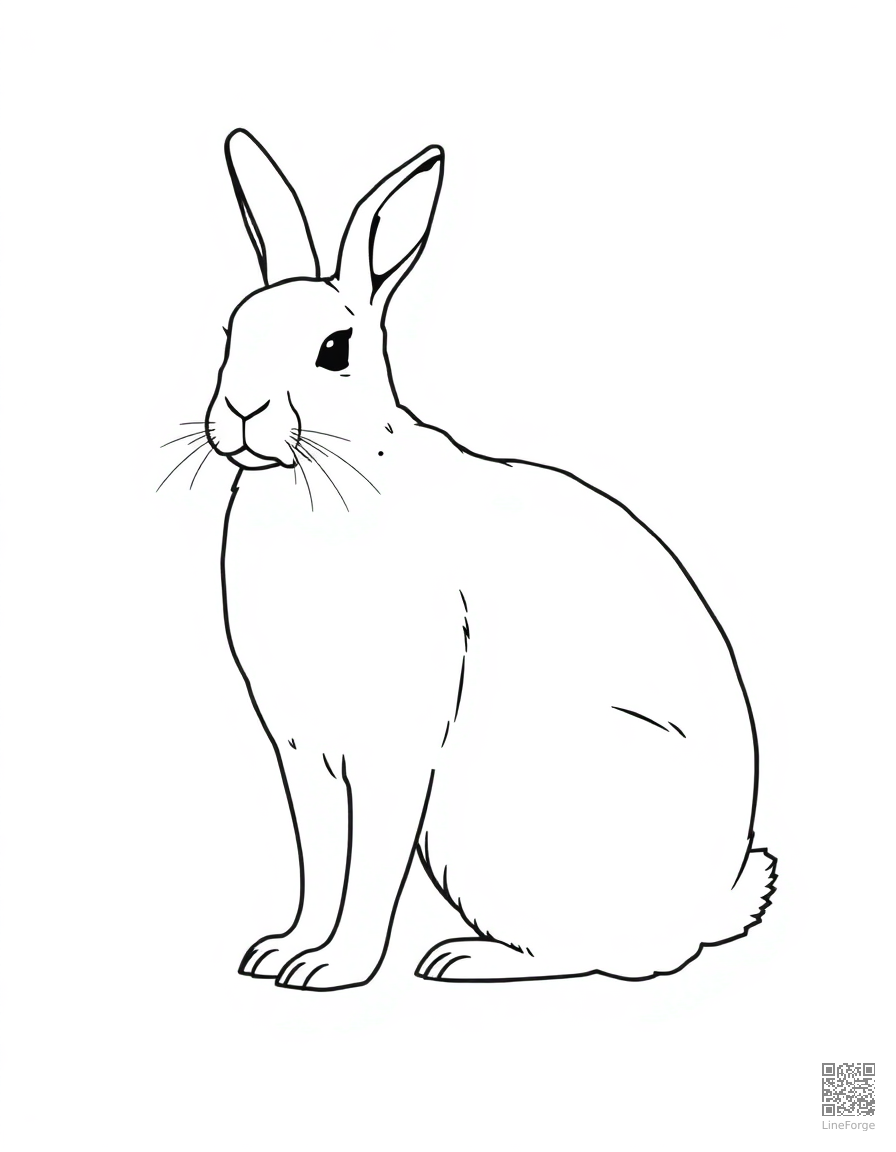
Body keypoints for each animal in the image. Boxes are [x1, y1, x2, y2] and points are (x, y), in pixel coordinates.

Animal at [202, 128, 776, 991]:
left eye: (334, 350)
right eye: (231, 334)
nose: (241, 411)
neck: (327, 468)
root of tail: (701, 912)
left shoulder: (397, 746)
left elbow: (369, 868)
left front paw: (333, 970)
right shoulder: (304, 753)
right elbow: (320, 861)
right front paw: (279, 953)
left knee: (600, 956)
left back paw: (462, 959)